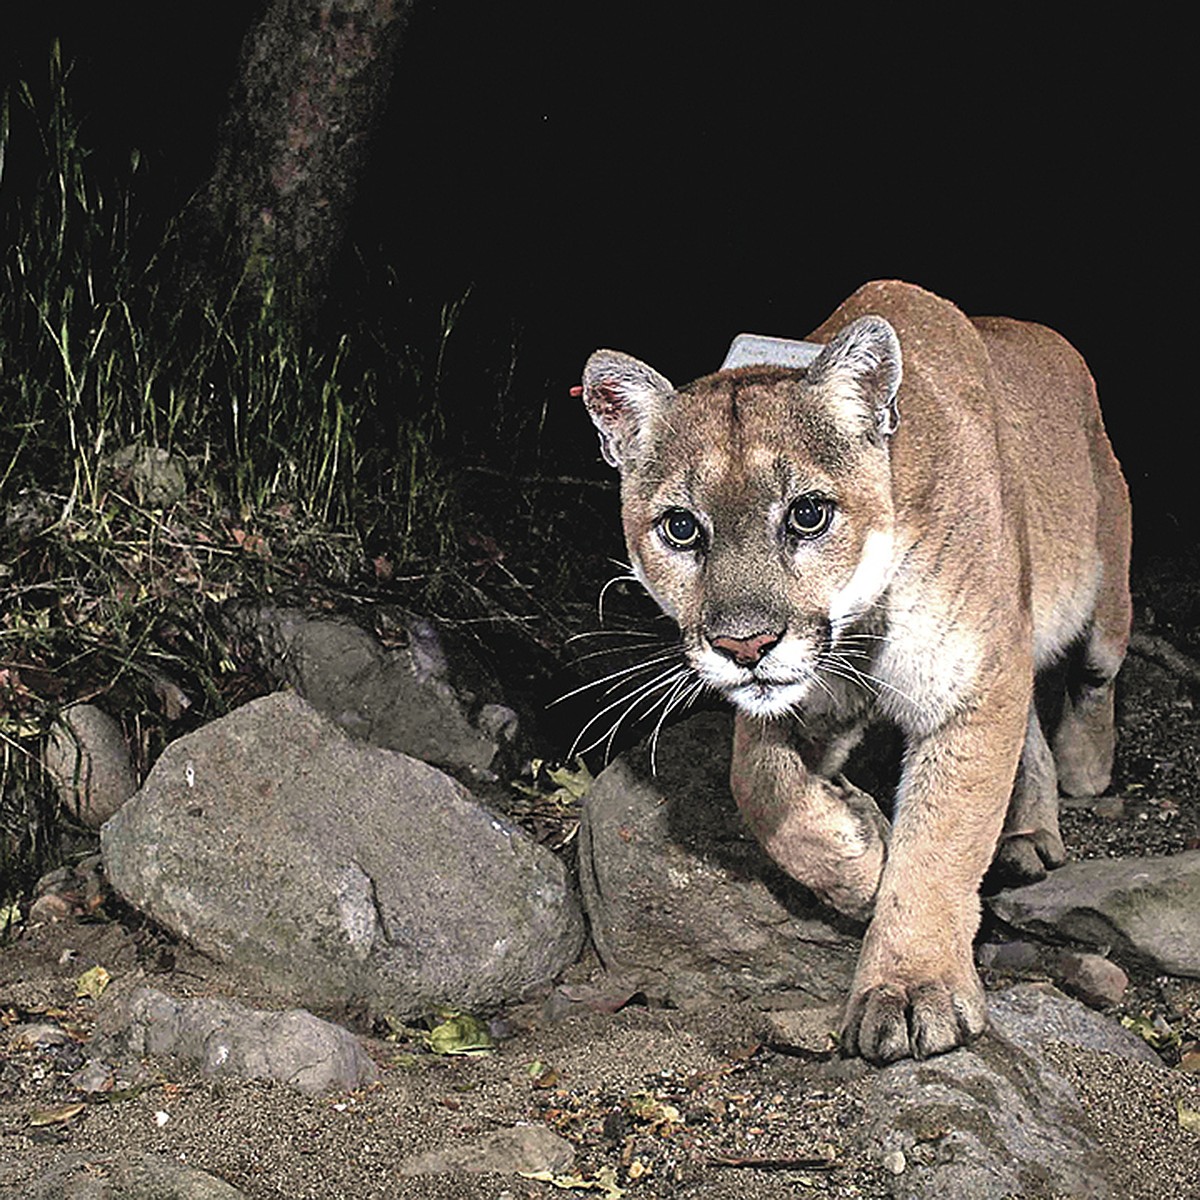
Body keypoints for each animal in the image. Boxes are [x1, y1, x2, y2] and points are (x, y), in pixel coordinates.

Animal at [576, 278, 1128, 1060]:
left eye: (808, 514)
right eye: (681, 528)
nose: (745, 645)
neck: (861, 624)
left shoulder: (973, 685)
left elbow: (941, 842)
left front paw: (911, 985)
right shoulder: (807, 699)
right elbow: (759, 785)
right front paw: (860, 859)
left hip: (1104, 589)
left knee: (1094, 675)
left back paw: (1085, 767)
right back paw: (1026, 835)